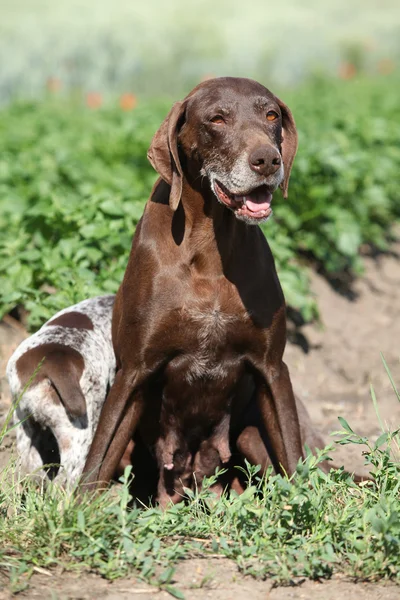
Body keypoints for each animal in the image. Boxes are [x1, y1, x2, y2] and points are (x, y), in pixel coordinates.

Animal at [80, 76, 300, 492]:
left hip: (248, 435)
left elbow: (296, 461)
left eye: (271, 115)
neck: (210, 251)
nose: (267, 160)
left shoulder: (272, 370)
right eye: (217, 119)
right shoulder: (133, 372)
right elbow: (97, 462)